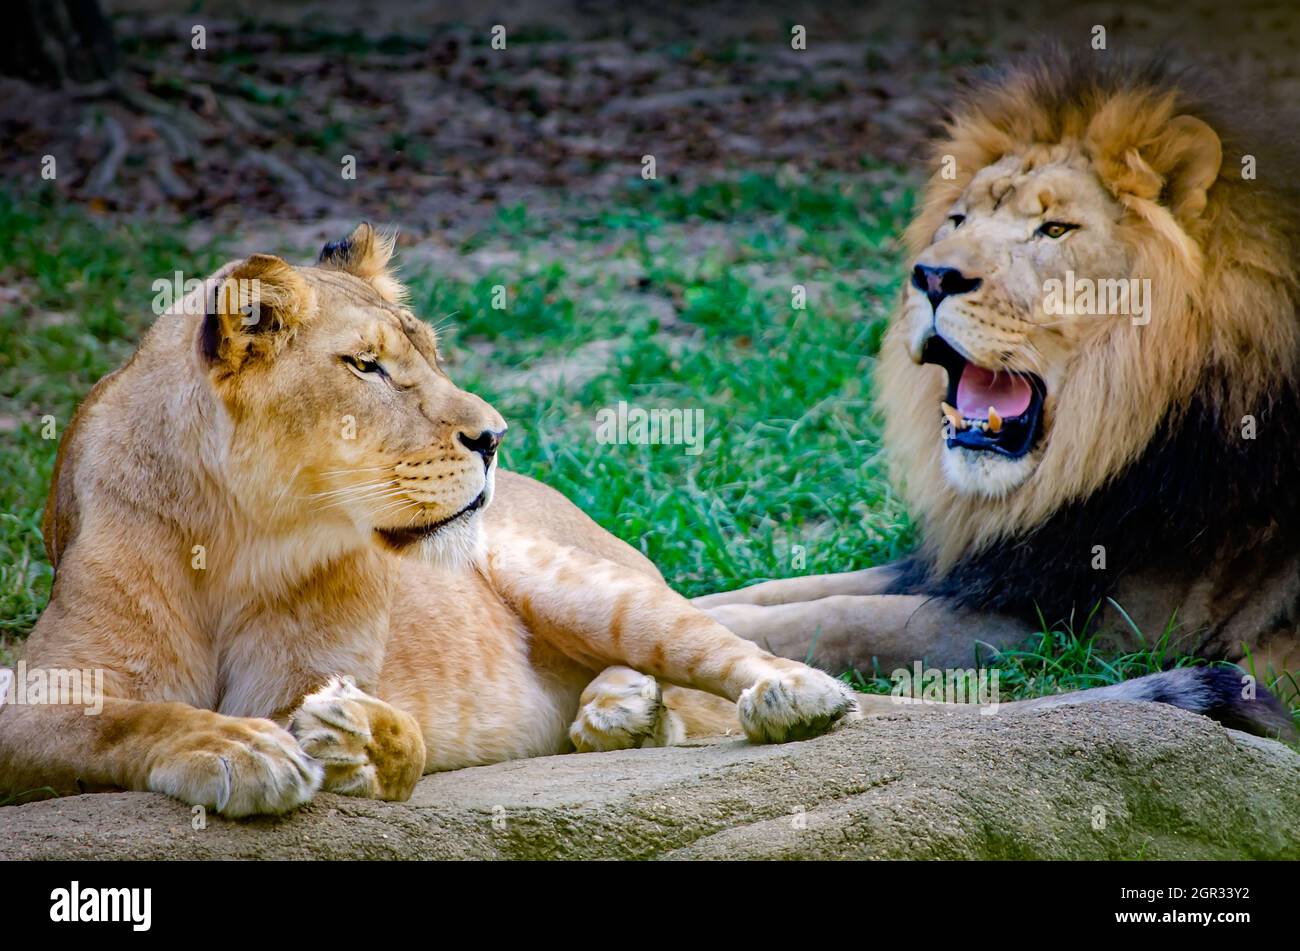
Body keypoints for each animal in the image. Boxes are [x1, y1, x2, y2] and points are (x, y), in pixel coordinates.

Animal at [0, 224, 857, 815]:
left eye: (432, 354)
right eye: (366, 365)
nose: (496, 436)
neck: (242, 538)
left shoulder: (312, 675)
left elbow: (402, 738)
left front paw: (354, 745)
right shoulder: (34, 696)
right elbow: (124, 719)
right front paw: (235, 746)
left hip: (585, 583)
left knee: (719, 655)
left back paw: (784, 697)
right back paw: (623, 712)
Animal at [702, 55, 1300, 737]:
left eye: (1055, 229)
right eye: (959, 219)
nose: (933, 277)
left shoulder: (1091, 630)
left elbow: (848, 618)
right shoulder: (989, 563)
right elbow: (787, 590)